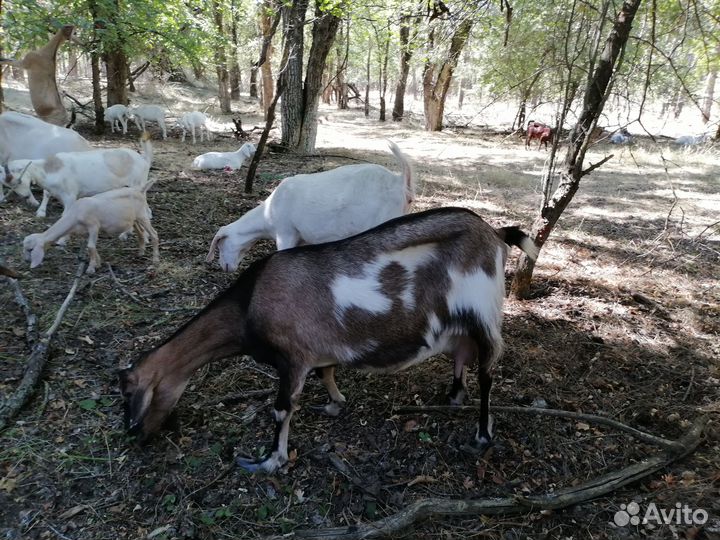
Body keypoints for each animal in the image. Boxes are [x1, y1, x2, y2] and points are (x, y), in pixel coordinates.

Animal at [2, 135, 152, 219]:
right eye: (8, 185)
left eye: (18, 181)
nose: (26, 196)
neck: (53, 167)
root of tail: (144, 160)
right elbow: (46, 193)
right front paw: (41, 212)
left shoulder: (71, 194)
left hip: (137, 183)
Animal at [23, 184, 159, 274]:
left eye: (30, 249)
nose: (26, 261)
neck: (75, 214)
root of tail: (140, 190)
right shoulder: (85, 232)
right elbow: (92, 248)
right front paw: (97, 263)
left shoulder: (94, 226)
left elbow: (91, 246)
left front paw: (90, 269)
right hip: (134, 219)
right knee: (141, 232)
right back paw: (140, 253)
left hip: (143, 215)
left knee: (154, 234)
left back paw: (155, 260)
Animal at [119, 207, 539, 473]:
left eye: (127, 393)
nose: (133, 434)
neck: (249, 302)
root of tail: (495, 234)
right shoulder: (318, 350)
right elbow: (327, 374)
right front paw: (334, 404)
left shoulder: (292, 358)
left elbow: (282, 409)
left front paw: (268, 461)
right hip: (460, 325)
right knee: (462, 357)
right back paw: (453, 396)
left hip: (483, 312)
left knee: (487, 372)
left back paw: (482, 435)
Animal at [207, 141, 414, 272]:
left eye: (220, 245)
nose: (224, 267)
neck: (268, 214)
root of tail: (399, 182)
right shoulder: (303, 238)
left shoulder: (285, 233)